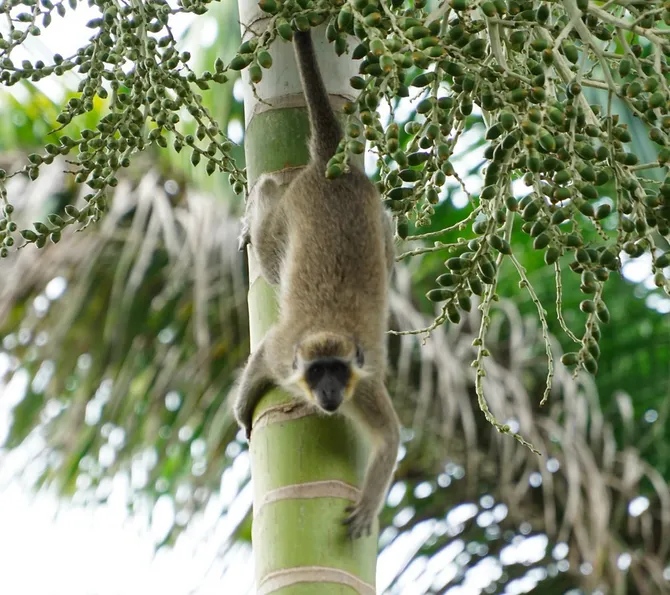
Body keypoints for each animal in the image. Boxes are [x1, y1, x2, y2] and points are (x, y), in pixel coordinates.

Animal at [234, 29, 400, 539]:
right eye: (315, 373)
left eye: (337, 373)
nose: (328, 395)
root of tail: (336, 170)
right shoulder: (281, 351)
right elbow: (261, 358)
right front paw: (242, 408)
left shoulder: (363, 382)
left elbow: (390, 438)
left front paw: (368, 506)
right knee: (270, 251)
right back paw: (264, 193)